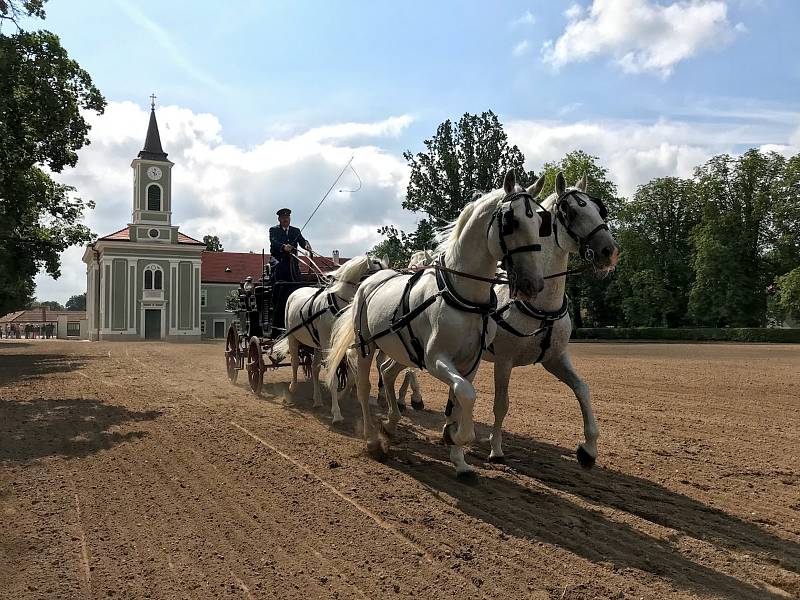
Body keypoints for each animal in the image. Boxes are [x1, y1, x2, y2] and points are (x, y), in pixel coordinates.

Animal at [274, 253, 390, 422]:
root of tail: (296, 291)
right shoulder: (328, 344)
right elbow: (333, 377)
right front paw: (336, 413)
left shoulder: (344, 345)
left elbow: (351, 375)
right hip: (293, 338)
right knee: (295, 362)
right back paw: (292, 388)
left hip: (316, 344)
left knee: (314, 369)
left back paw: (317, 400)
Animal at [328, 171, 548, 476]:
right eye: (510, 221)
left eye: (540, 223)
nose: (533, 284)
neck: (463, 295)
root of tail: (370, 281)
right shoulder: (436, 359)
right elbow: (466, 394)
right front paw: (455, 436)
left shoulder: (469, 363)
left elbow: (459, 399)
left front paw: (459, 458)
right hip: (366, 346)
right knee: (363, 387)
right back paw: (373, 439)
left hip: (401, 350)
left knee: (388, 372)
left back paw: (391, 422)